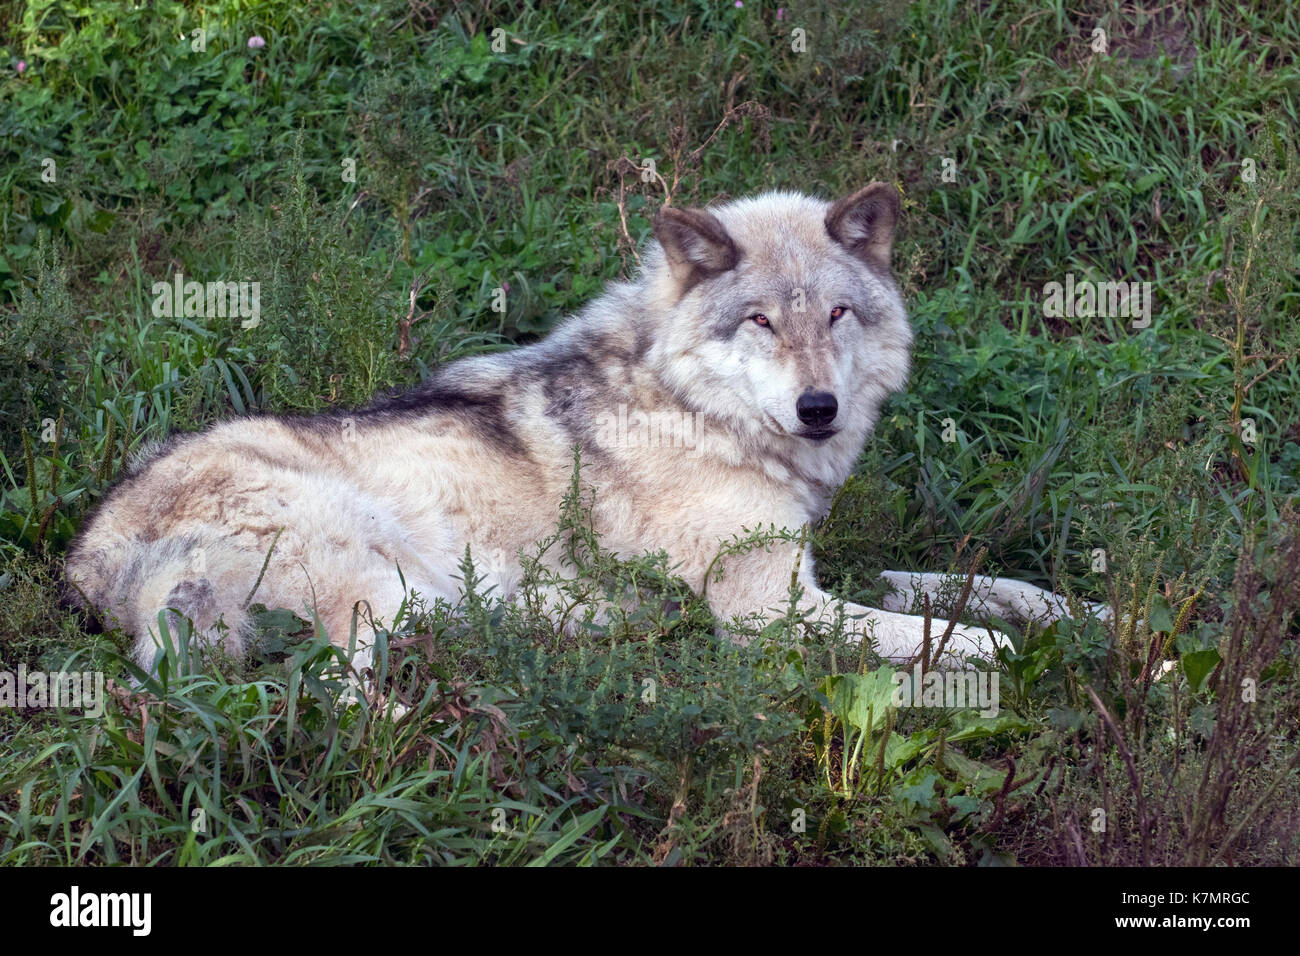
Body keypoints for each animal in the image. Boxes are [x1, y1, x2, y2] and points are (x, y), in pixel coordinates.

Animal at [65, 183, 1103, 673]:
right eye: (761, 322)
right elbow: (949, 634)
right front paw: (1005, 658)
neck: (694, 412)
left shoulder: (820, 565)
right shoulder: (769, 609)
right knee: (341, 690)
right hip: (385, 582)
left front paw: (1095, 619)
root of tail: (86, 559)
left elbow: (989, 588)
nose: (820, 409)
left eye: (838, 315)